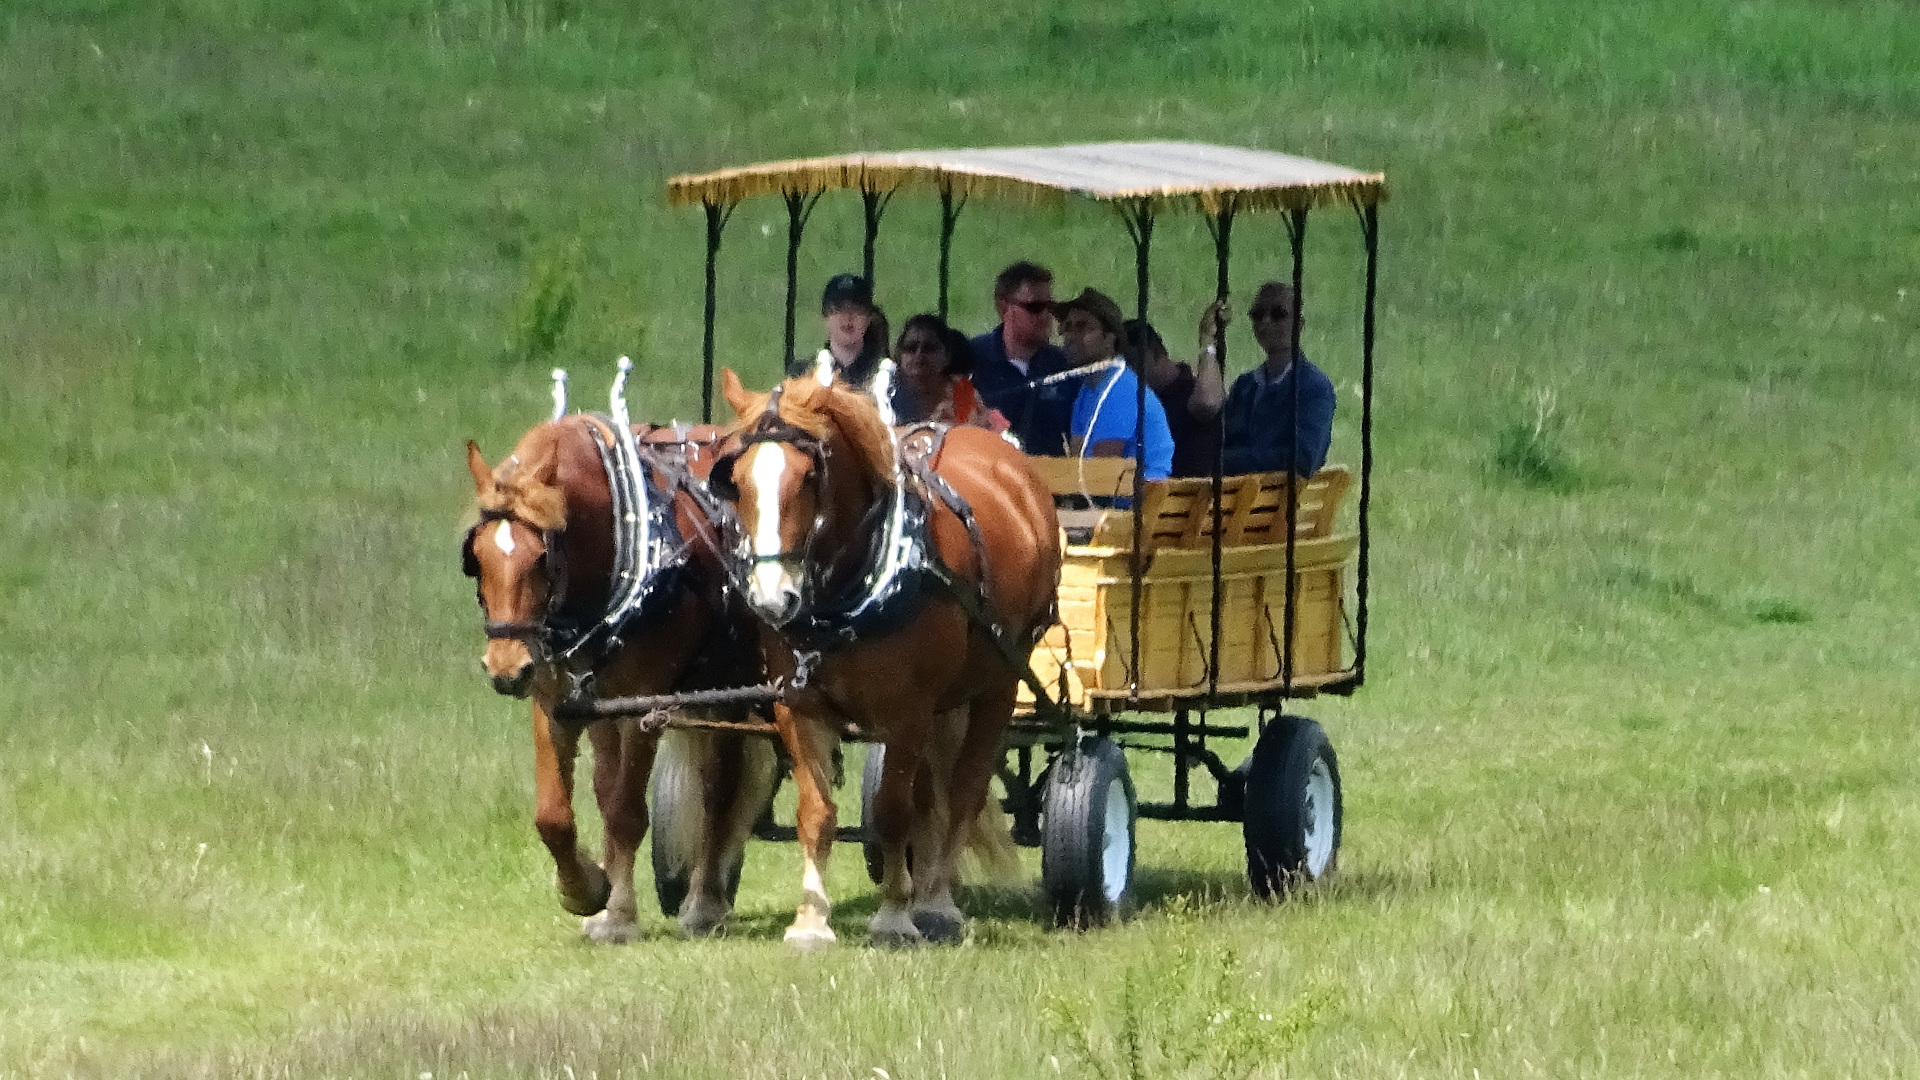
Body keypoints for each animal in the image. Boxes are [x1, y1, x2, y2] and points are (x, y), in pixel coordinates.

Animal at [462, 413, 776, 941]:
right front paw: (588, 891)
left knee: (720, 792)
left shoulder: (642, 705)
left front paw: (620, 915)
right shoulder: (556, 701)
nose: (507, 668)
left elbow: (626, 812)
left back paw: (704, 902)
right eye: (478, 558)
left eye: (542, 558)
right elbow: (554, 816)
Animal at [714, 369, 1059, 946]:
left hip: (997, 686)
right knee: (932, 798)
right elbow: (818, 812)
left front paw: (895, 914)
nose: (771, 597)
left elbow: (893, 810)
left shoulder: (907, 712)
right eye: (736, 480)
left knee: (964, 790)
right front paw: (811, 920)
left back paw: (937, 901)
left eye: (809, 477)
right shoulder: (798, 706)